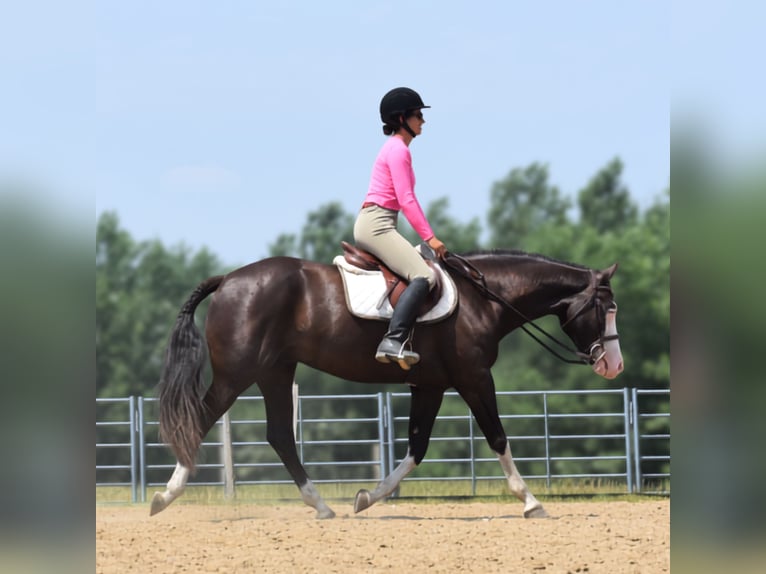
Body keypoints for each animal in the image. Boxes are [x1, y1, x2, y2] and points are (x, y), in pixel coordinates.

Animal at [150, 249, 623, 519]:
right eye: (607, 308)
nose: (614, 365)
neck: (482, 298)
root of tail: (228, 280)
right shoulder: (474, 378)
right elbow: (497, 437)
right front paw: (530, 501)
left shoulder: (431, 386)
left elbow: (416, 448)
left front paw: (366, 498)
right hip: (239, 374)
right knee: (200, 421)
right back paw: (165, 497)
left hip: (275, 372)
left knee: (280, 435)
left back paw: (322, 506)